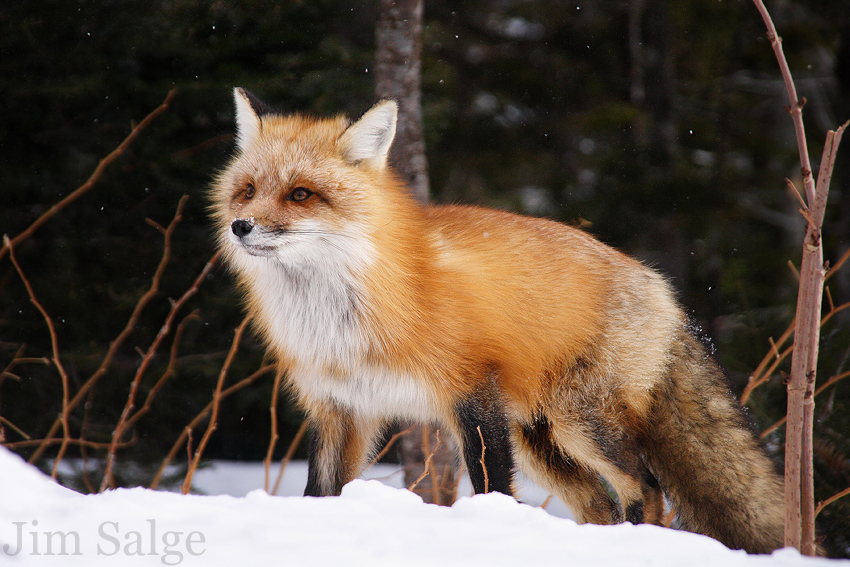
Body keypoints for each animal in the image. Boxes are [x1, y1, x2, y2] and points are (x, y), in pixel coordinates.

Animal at [211, 87, 787, 554]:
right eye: (248, 190)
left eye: (300, 194)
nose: (241, 226)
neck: (341, 325)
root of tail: (659, 285)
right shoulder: (339, 408)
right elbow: (319, 493)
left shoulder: (472, 391)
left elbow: (491, 486)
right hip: (540, 442)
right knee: (599, 504)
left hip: (581, 425)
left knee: (643, 488)